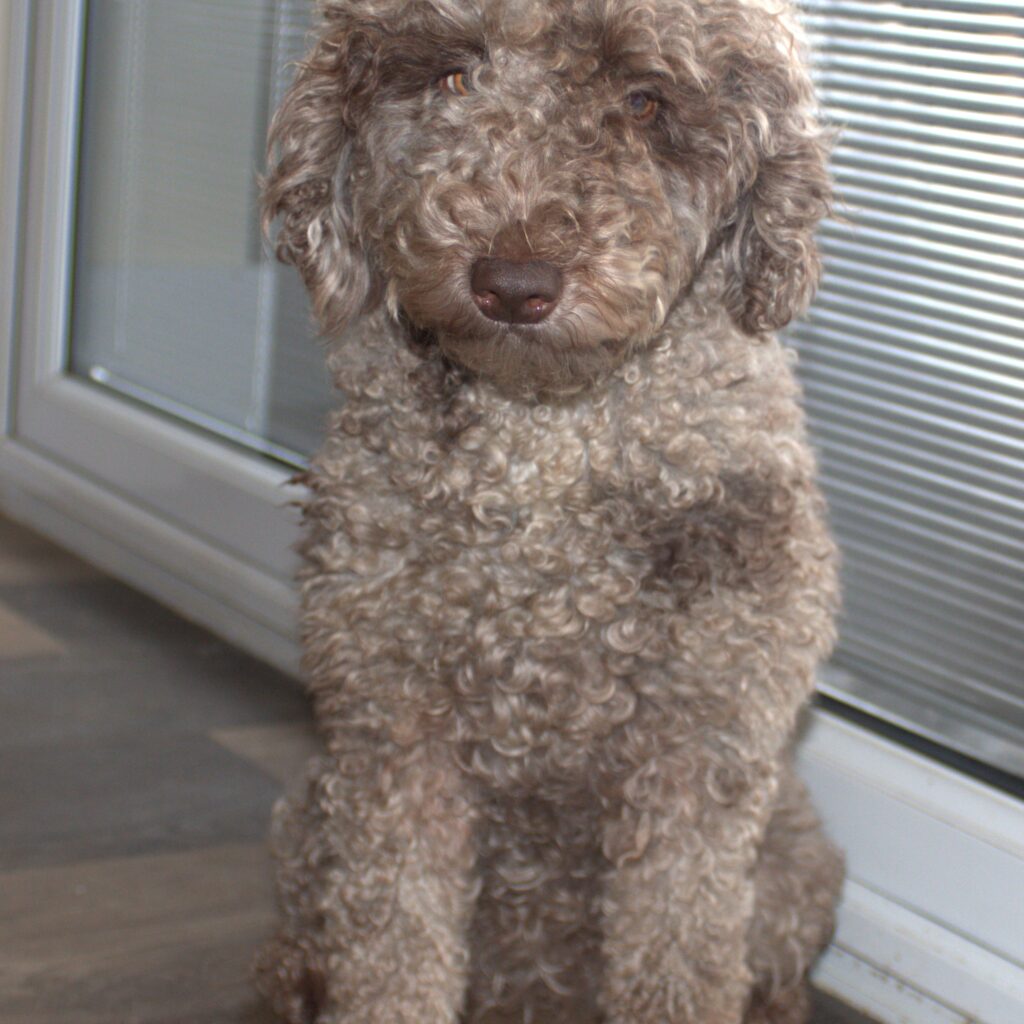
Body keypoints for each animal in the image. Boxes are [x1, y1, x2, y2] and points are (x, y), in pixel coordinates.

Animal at [253, 2, 839, 1024]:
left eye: (644, 102)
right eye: (452, 77)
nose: (514, 283)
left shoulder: (705, 741)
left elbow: (679, 946)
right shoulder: (386, 728)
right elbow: (394, 941)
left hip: (795, 856)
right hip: (307, 817)